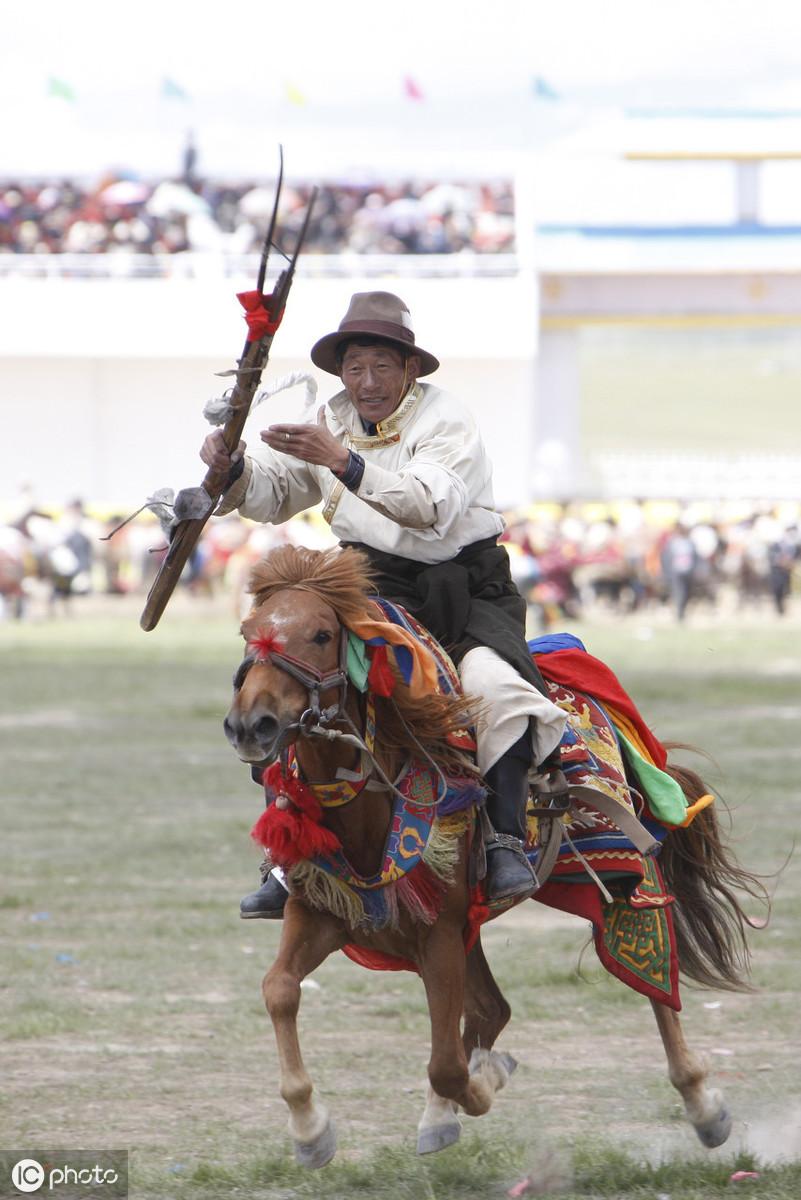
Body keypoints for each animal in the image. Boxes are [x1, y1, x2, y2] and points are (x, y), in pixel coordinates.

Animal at [224, 549, 762, 1166]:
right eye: (247, 632)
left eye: (320, 634)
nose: (250, 725)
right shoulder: (322, 912)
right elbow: (280, 990)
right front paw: (311, 1129)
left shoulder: (437, 935)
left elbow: (447, 1064)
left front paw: (478, 1085)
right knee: (491, 1010)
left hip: (630, 879)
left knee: (655, 986)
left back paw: (704, 1105)